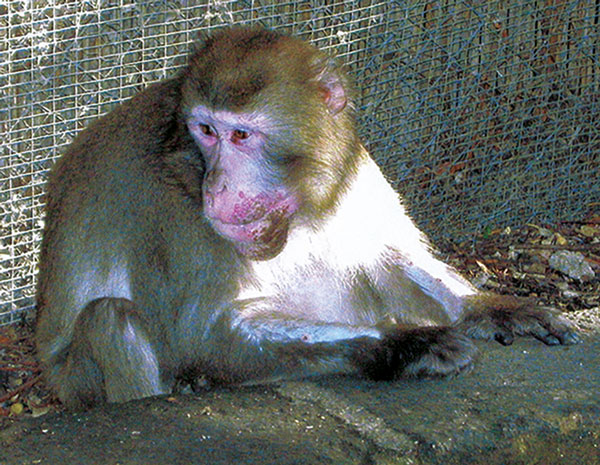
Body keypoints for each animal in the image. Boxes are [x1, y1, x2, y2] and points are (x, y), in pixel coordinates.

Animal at [35, 27, 580, 408]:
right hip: (74, 384)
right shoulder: (167, 209)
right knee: (111, 319)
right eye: (205, 130)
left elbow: (384, 256)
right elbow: (202, 331)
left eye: (241, 135)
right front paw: (405, 345)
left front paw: (494, 307)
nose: (217, 187)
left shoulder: (350, 168)